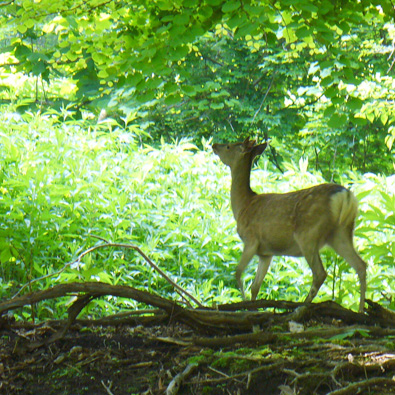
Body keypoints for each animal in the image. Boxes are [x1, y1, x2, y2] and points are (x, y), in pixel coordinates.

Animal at [213, 138, 368, 312]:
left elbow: (238, 273)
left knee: (320, 273)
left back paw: (302, 305)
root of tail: (346, 196)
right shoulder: (266, 253)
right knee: (361, 265)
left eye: (228, 146)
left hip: (308, 234)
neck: (243, 205)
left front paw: (245, 304)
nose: (214, 145)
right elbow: (255, 286)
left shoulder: (251, 239)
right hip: (340, 233)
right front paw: (253, 306)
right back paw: (361, 310)